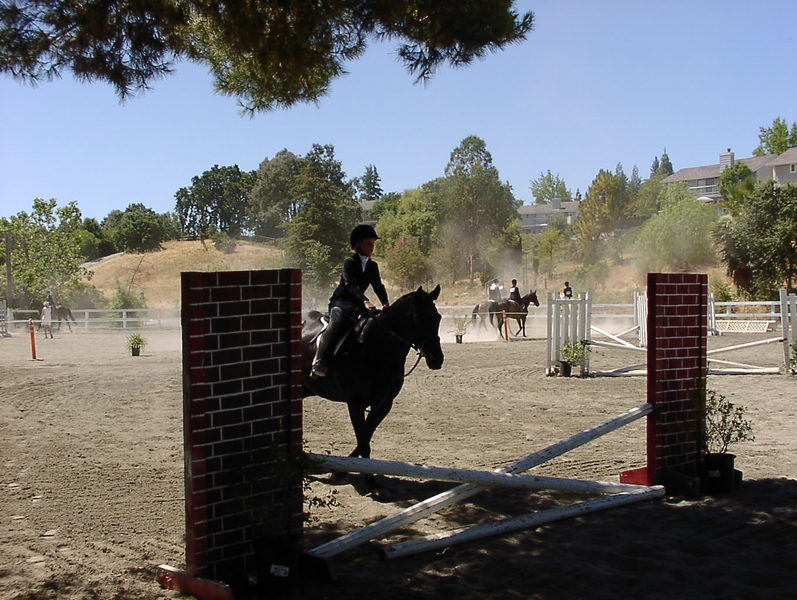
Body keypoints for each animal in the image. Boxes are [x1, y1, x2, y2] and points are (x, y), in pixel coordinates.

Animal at [301, 285, 445, 480]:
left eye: (437, 317)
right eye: (419, 318)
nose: (437, 359)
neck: (378, 348)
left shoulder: (383, 404)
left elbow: (365, 438)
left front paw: (341, 471)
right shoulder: (355, 403)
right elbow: (363, 442)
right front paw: (367, 480)